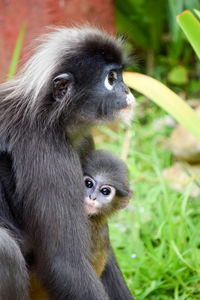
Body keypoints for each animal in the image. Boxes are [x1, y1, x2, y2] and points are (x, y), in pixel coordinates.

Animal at [0, 27, 136, 298]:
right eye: (111, 78)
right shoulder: (45, 149)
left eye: (120, 75)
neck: (51, 119)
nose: (127, 91)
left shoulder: (84, 141)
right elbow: (66, 265)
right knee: (6, 250)